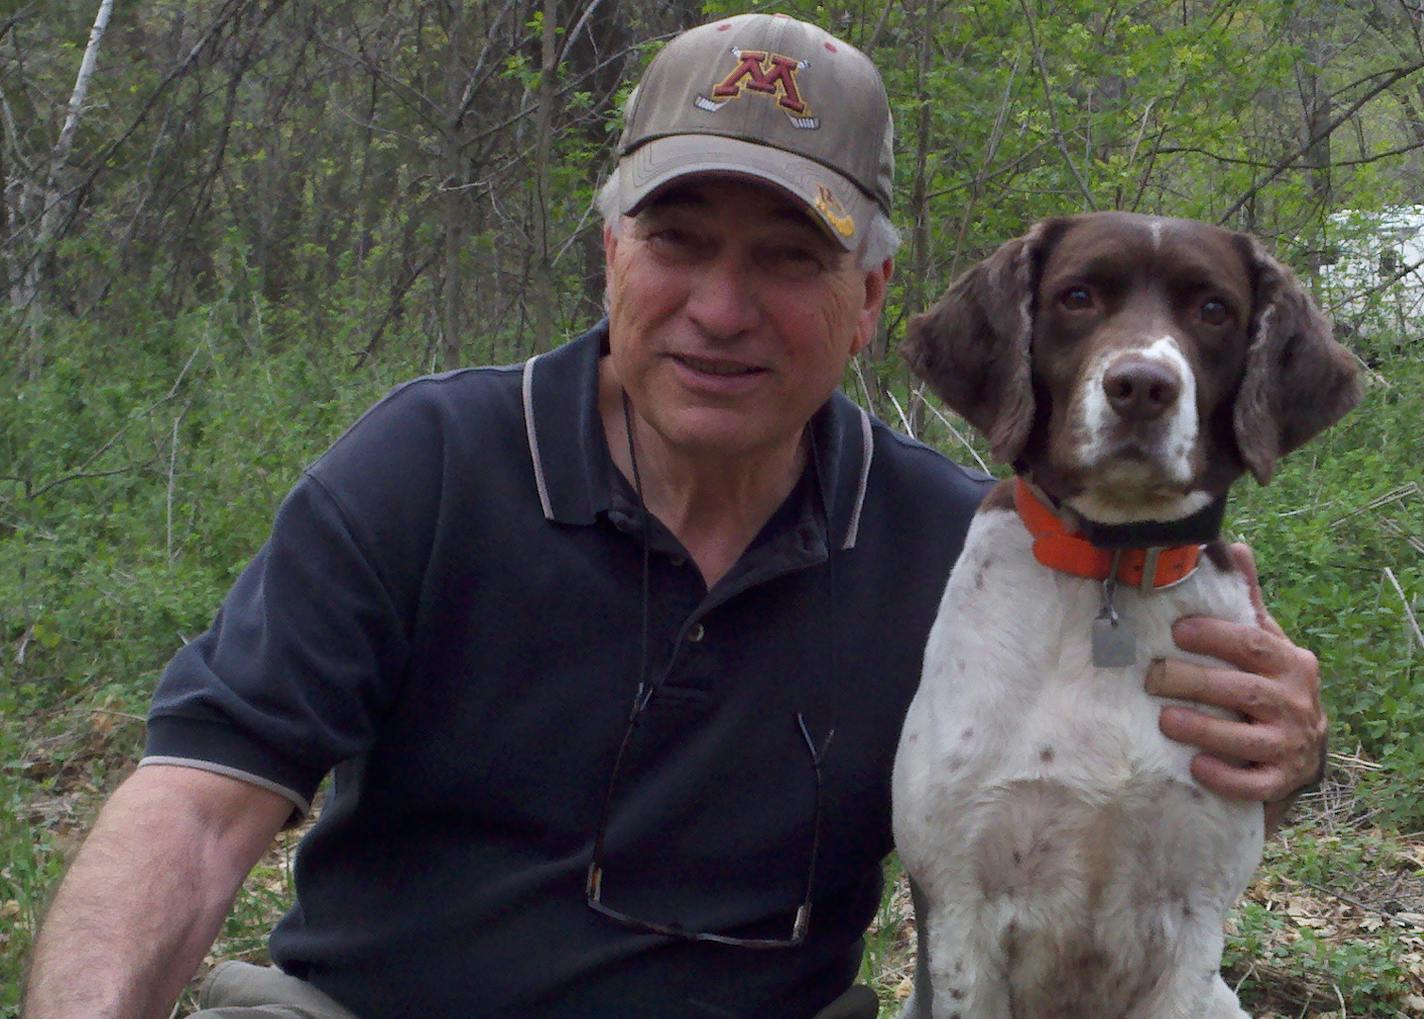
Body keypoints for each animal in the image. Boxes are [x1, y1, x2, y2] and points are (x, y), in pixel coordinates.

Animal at [888, 214, 1355, 1019]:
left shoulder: (1195, 913)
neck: (1111, 565)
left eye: (1214, 309)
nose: (1142, 385)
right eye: (1077, 296)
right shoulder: (961, 904)